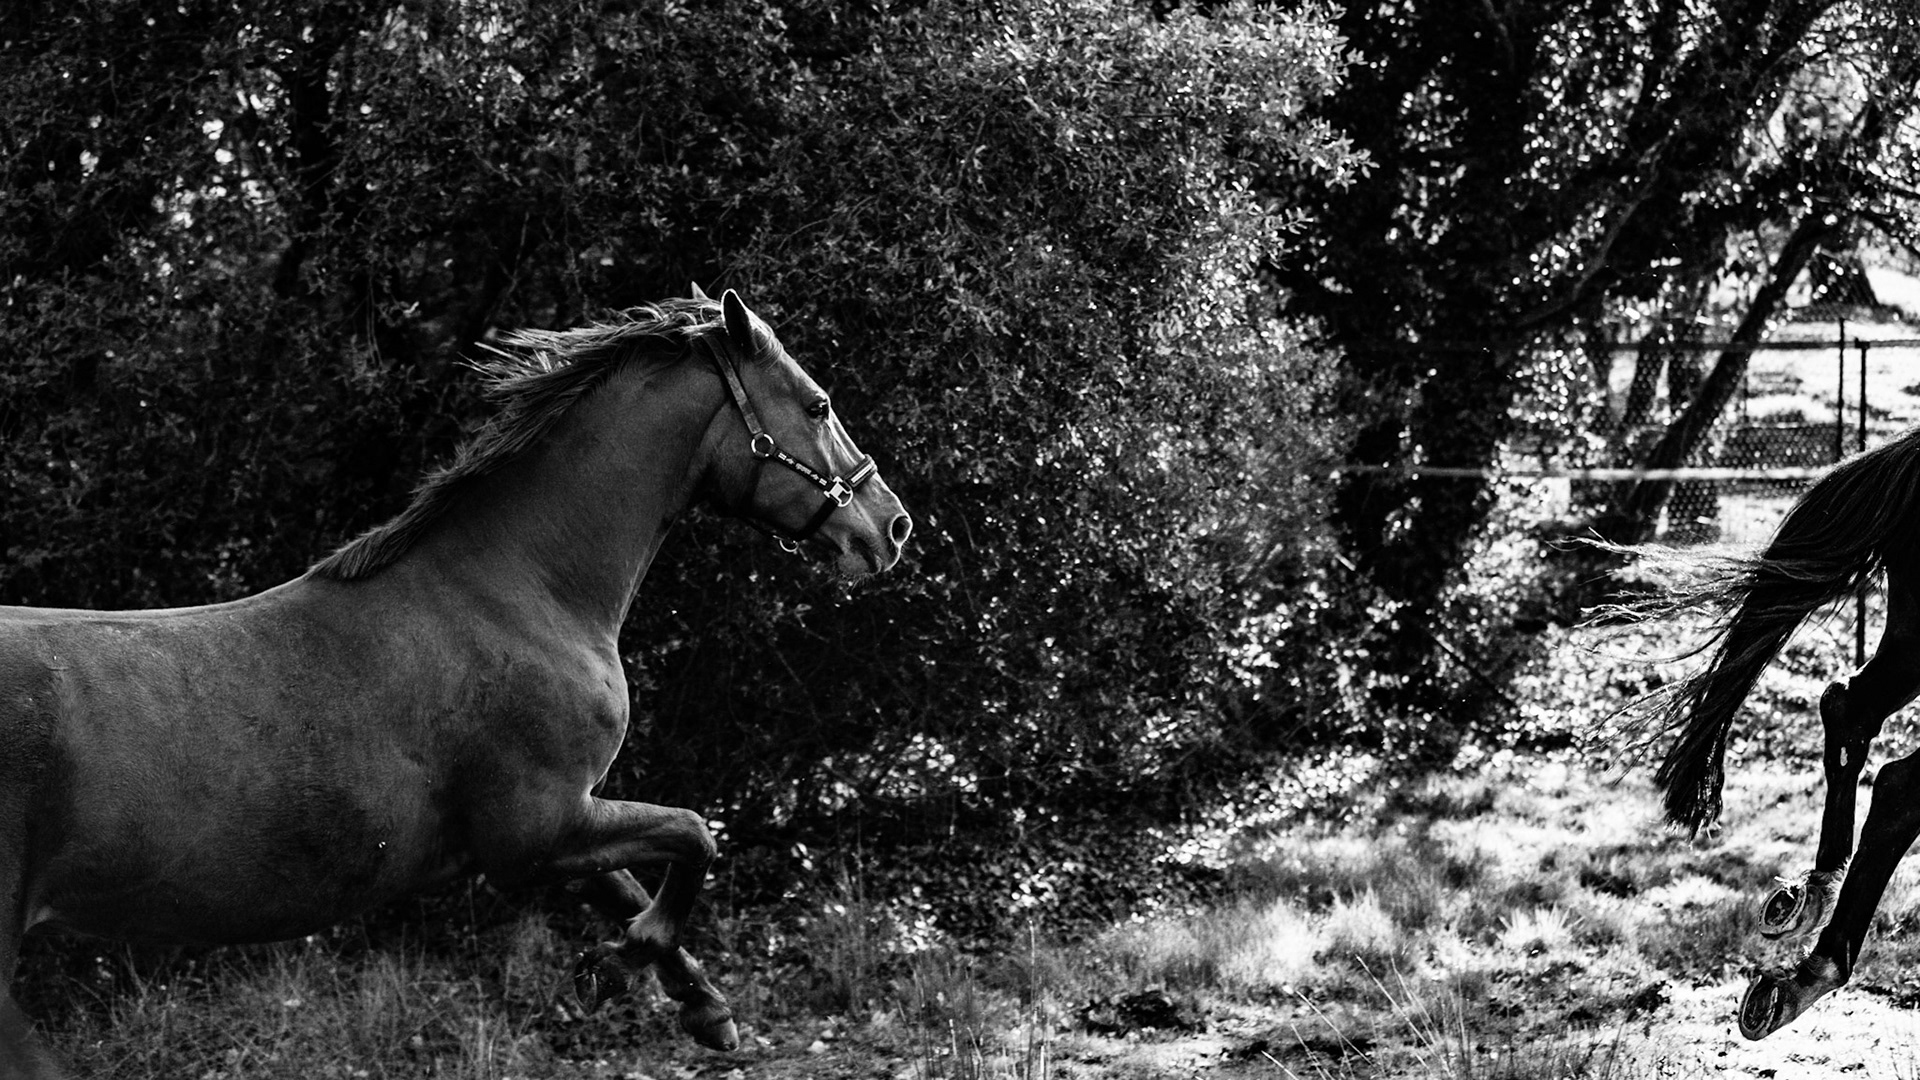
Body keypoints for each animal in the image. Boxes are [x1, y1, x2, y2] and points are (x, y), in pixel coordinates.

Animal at [0, 287, 912, 1077]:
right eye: (818, 405)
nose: (893, 527)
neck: (518, 590)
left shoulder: (555, 822)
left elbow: (625, 883)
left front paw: (701, 1006)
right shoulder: (533, 830)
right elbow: (693, 837)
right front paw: (624, 964)